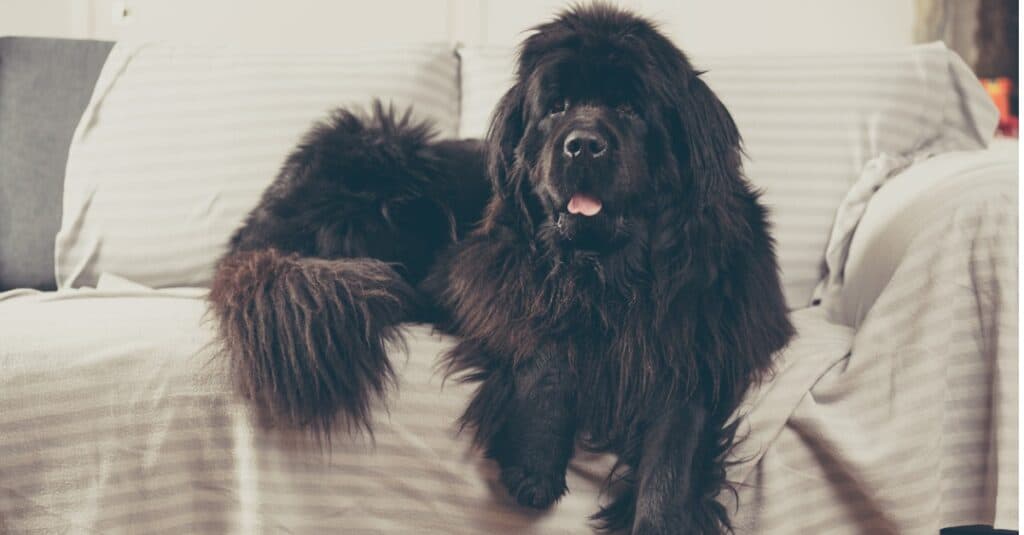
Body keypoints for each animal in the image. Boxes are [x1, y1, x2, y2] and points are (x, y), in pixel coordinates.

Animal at [209, 5, 790, 532]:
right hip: (387, 164)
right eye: (556, 107)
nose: (582, 145)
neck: (607, 274)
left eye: (629, 107)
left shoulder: (702, 334)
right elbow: (543, 338)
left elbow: (677, 434)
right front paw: (534, 462)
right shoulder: (474, 277)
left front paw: (659, 517)